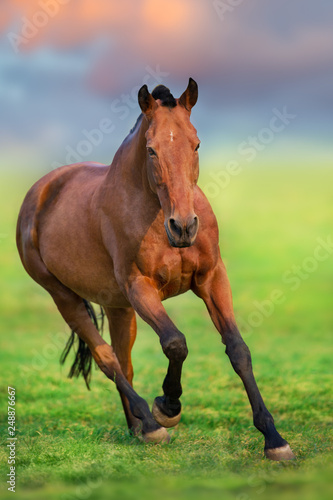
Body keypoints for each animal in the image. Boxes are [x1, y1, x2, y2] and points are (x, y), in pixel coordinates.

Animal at [16, 79, 294, 460]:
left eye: (196, 143)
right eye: (151, 150)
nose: (183, 227)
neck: (156, 213)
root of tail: (41, 190)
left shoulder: (212, 279)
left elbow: (238, 350)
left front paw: (274, 439)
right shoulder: (141, 288)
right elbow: (175, 343)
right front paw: (168, 407)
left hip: (117, 307)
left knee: (124, 360)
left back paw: (137, 427)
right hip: (64, 296)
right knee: (107, 358)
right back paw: (150, 425)